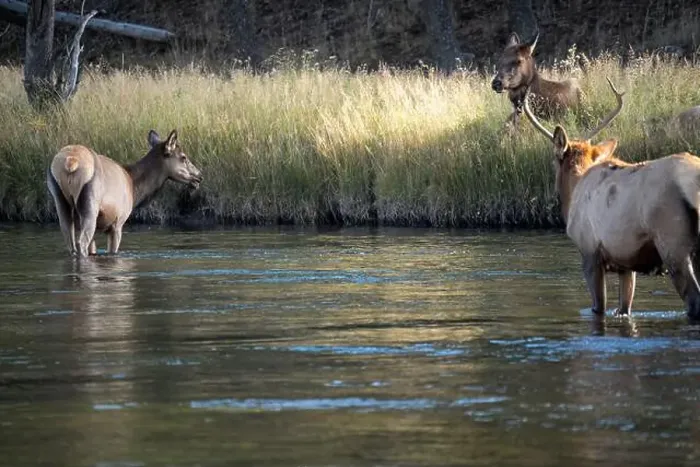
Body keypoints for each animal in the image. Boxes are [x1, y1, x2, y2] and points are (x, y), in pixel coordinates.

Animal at [47, 129, 203, 258]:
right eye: (183, 157)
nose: (199, 176)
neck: (134, 188)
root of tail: (70, 162)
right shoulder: (118, 222)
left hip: (60, 200)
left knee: (70, 242)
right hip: (90, 202)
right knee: (81, 242)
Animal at [522, 78, 700, 321]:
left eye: (553, 162)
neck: (574, 189)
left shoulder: (590, 253)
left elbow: (599, 308)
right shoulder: (626, 264)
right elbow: (624, 307)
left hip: (673, 242)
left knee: (693, 299)